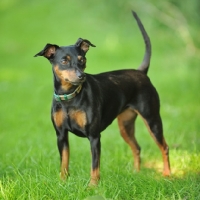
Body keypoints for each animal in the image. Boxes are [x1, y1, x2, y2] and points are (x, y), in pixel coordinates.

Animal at [34, 10, 170, 186]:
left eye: (83, 60)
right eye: (64, 61)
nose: (82, 76)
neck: (70, 98)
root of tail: (141, 72)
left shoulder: (94, 137)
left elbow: (94, 165)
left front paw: (92, 186)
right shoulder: (61, 135)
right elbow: (64, 162)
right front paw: (62, 183)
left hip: (152, 119)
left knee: (164, 147)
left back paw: (167, 174)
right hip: (125, 125)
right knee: (137, 147)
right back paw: (136, 173)